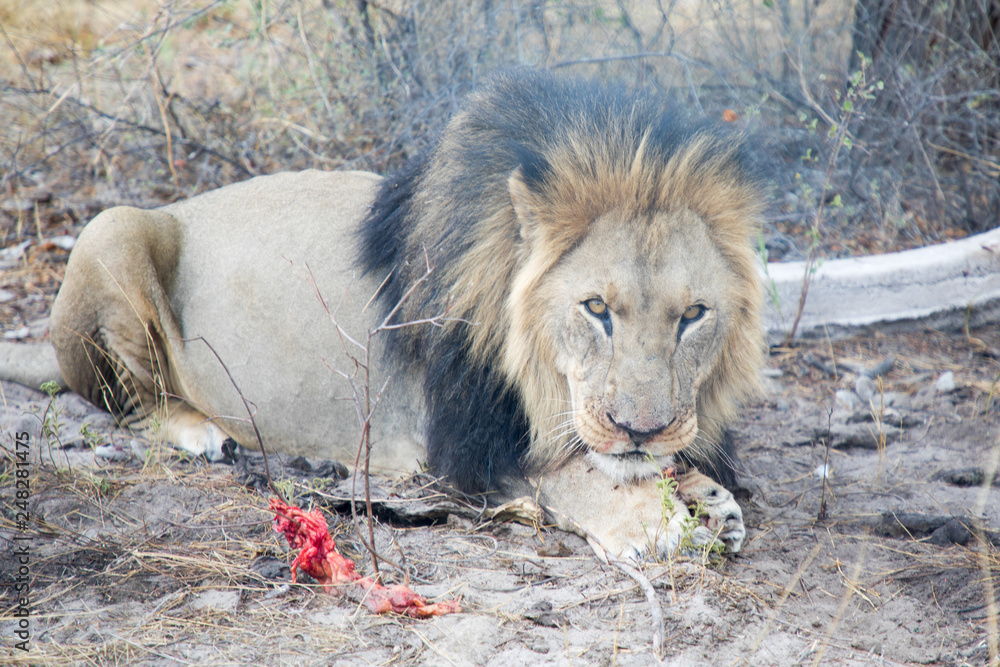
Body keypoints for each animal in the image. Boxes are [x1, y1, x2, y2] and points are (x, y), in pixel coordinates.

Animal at [44, 70, 765, 560]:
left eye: (693, 314)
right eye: (596, 309)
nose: (642, 429)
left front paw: (704, 493)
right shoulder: (460, 447)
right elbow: (575, 471)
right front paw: (652, 520)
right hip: (111, 229)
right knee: (129, 401)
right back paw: (200, 431)